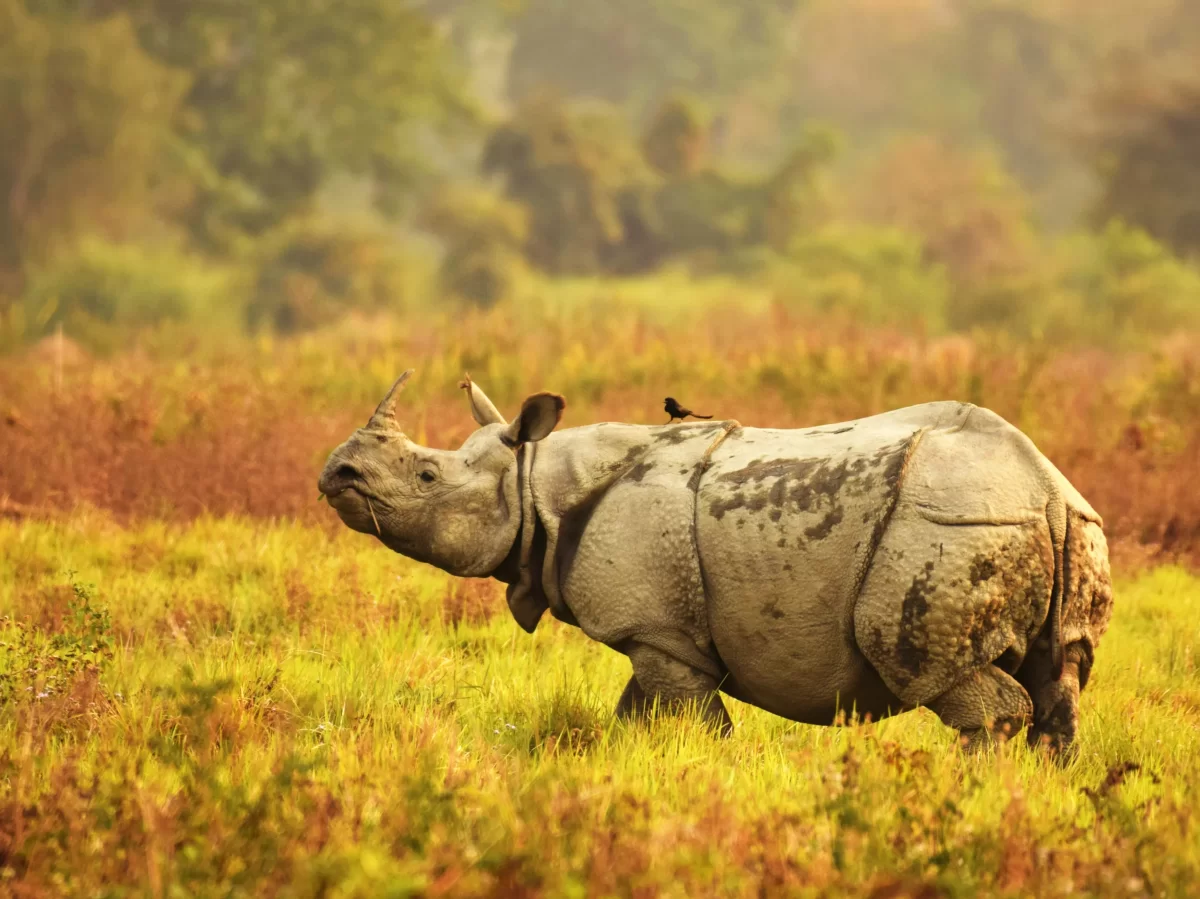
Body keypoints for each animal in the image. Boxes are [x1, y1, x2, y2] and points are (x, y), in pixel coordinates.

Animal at [318, 372, 1113, 754]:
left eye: (425, 476)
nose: (337, 474)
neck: (537, 479)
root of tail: (1045, 490)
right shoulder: (661, 636)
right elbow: (634, 716)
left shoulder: (659, 632)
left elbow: (697, 722)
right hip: (1070, 528)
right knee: (1060, 680)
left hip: (946, 526)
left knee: (946, 677)